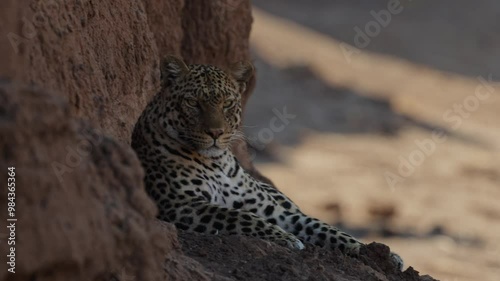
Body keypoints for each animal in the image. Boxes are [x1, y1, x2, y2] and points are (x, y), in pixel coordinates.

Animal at [130, 55, 402, 270]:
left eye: (227, 104)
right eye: (193, 103)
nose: (215, 133)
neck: (216, 163)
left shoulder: (271, 208)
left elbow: (320, 226)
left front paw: (369, 251)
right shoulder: (182, 204)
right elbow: (239, 216)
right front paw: (289, 239)